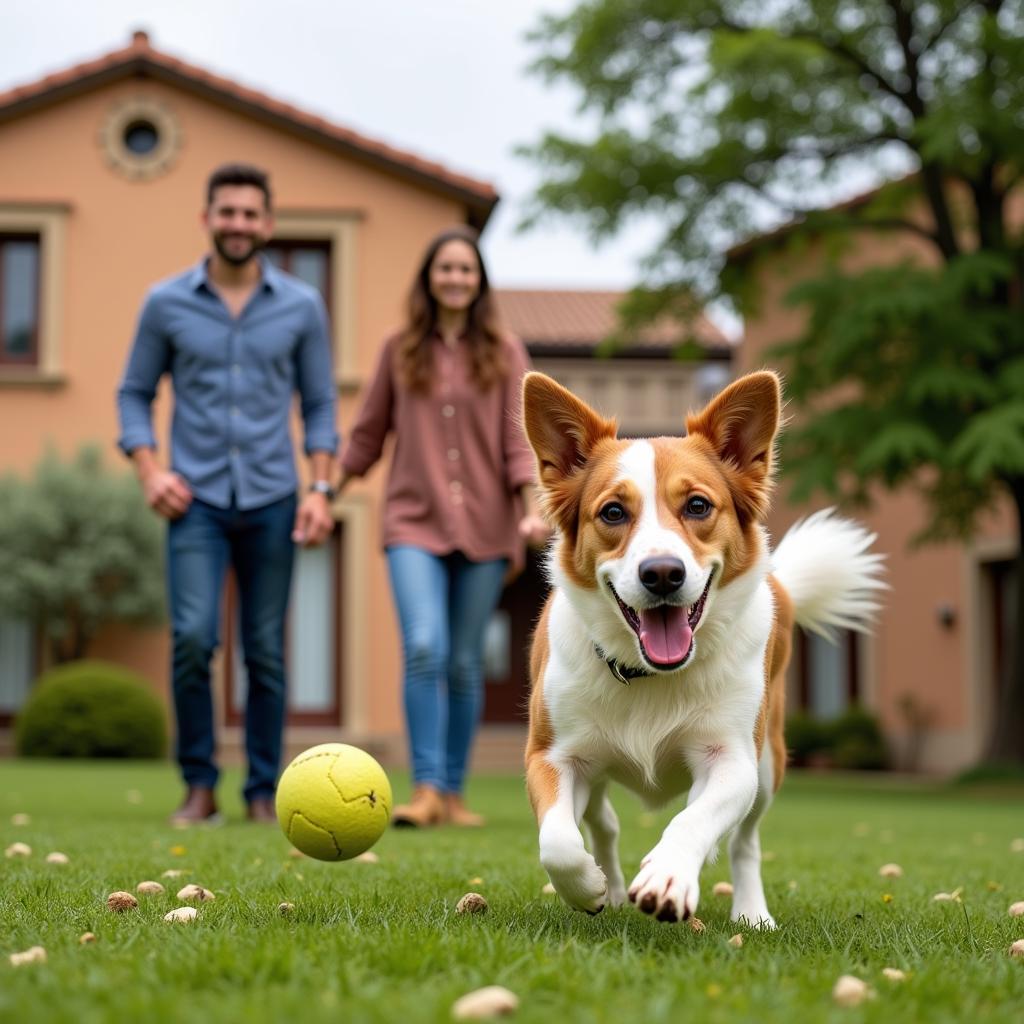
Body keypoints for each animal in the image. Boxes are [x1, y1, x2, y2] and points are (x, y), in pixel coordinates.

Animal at [520, 370, 880, 929]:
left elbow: (696, 818)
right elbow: (556, 840)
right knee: (602, 820)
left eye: (697, 506)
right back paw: (610, 883)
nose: (663, 572)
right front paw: (587, 887)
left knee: (743, 841)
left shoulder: (732, 758)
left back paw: (750, 911)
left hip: (769, 762)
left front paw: (669, 875)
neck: (650, 674)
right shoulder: (551, 755)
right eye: (613, 512)